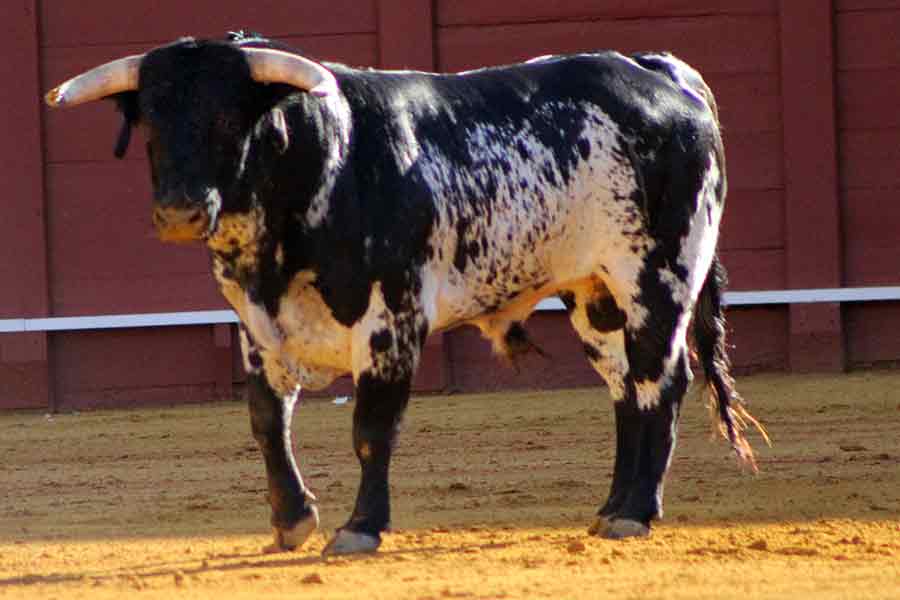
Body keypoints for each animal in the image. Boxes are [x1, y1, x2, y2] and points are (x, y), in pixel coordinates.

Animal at [45, 31, 764, 556]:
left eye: (228, 115)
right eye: (149, 120)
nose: (180, 212)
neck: (321, 162)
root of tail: (660, 70)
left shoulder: (392, 320)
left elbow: (371, 427)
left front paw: (360, 527)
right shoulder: (257, 327)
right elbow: (266, 421)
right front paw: (291, 520)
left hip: (658, 276)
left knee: (659, 382)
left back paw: (637, 512)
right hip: (593, 295)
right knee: (624, 390)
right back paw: (611, 506)